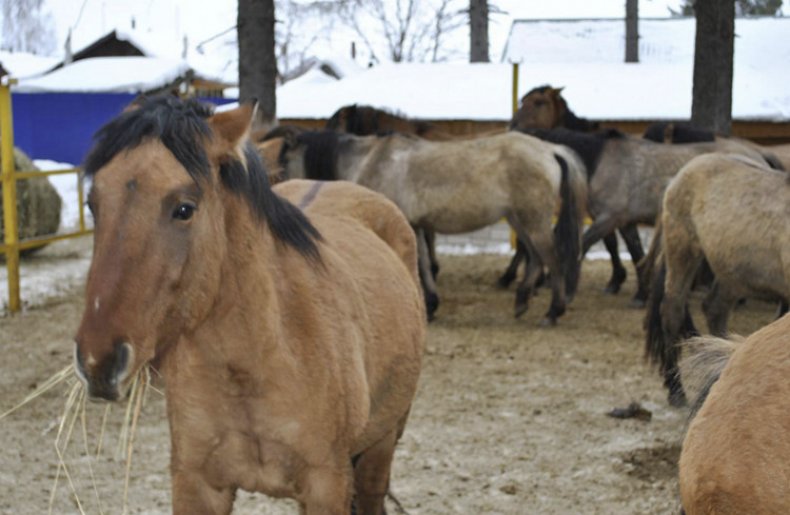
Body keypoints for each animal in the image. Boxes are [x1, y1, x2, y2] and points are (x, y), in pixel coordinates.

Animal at [74, 97, 426, 515]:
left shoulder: (326, 484)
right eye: (93, 205)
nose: (98, 360)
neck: (252, 365)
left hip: (382, 442)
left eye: (184, 208)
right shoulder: (195, 484)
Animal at [278, 131, 588, 326]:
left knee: (551, 258)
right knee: (534, 256)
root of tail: (549, 149)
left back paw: (553, 312)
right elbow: (424, 264)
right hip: (519, 219)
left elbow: (418, 263)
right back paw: (522, 301)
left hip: (532, 220)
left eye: (283, 163)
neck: (371, 159)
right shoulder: (415, 226)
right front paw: (430, 304)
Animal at [644, 153, 790, 408]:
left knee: (714, 309)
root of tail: (678, 177)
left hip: (730, 275)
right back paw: (676, 390)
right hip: (683, 254)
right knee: (672, 313)